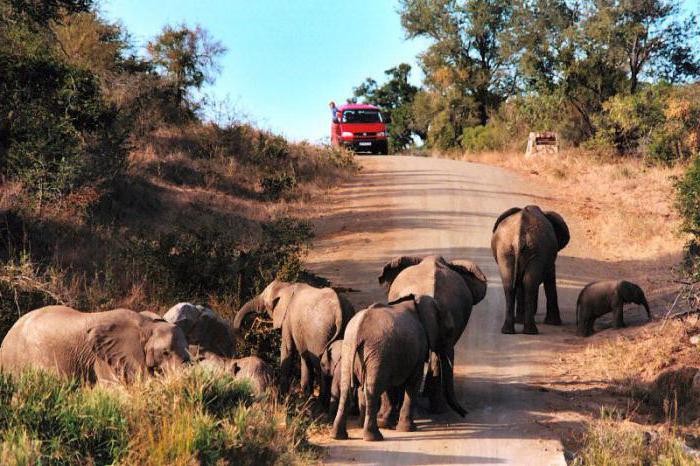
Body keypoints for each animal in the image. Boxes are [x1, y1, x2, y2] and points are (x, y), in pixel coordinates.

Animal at [330, 296, 462, 442]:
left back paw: (338, 436)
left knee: (346, 388)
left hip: (351, 350)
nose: (464, 414)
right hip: (376, 352)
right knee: (372, 390)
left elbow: (390, 386)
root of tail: (359, 328)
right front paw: (407, 429)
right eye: (449, 332)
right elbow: (413, 382)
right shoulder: (418, 348)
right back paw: (374, 437)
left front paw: (387, 423)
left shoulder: (391, 357)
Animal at [490, 206, 572, 334]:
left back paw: (511, 330)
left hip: (508, 251)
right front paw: (554, 323)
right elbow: (550, 279)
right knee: (527, 284)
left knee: (511, 284)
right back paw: (527, 329)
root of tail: (518, 237)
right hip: (531, 251)